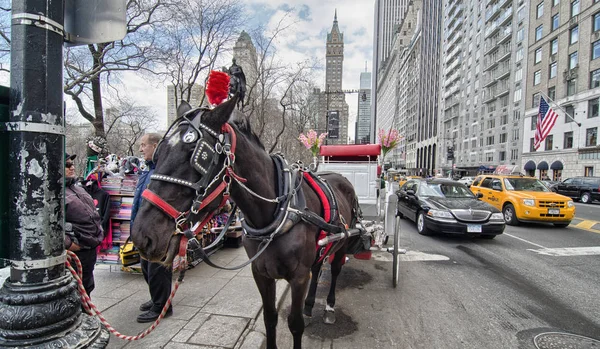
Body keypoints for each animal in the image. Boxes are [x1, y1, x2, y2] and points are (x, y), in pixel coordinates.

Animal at [132, 95, 366, 348]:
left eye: (198, 155)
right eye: (159, 154)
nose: (142, 235)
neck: (276, 212)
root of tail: (340, 176)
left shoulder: (298, 276)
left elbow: (295, 324)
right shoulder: (261, 273)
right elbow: (270, 318)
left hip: (342, 243)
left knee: (334, 270)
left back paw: (329, 307)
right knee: (318, 266)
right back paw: (310, 305)